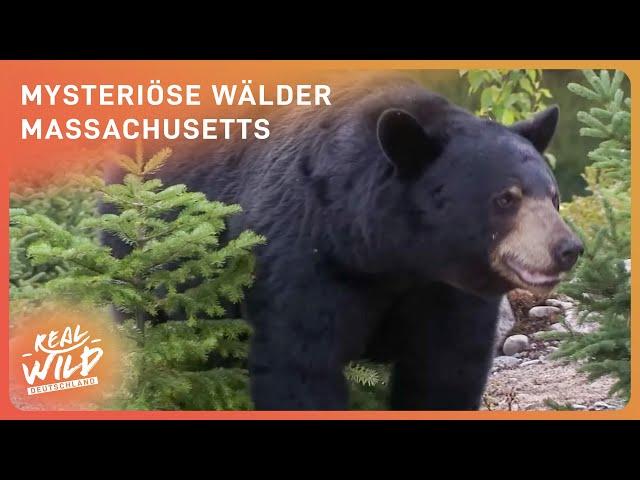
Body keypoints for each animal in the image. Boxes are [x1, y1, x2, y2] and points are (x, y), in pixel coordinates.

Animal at [102, 74, 584, 408]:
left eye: (552, 195)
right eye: (506, 197)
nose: (568, 249)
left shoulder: (448, 292)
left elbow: (445, 369)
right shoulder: (306, 258)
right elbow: (299, 363)